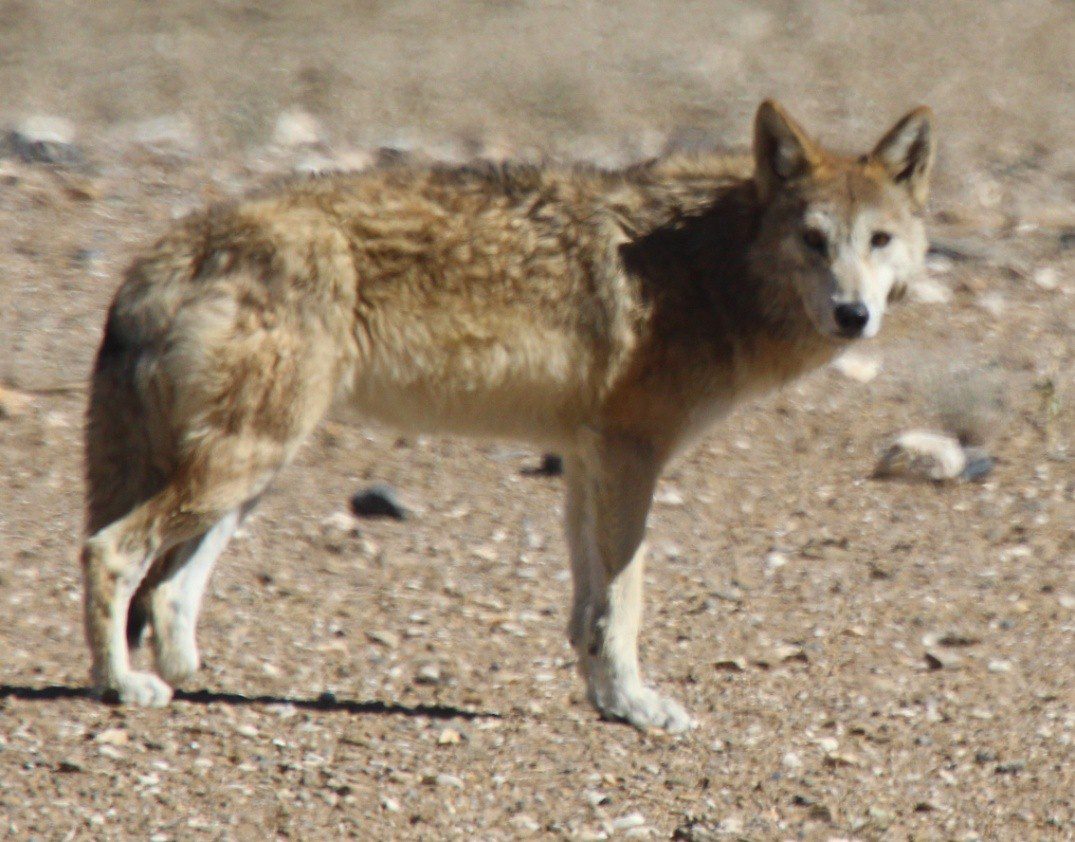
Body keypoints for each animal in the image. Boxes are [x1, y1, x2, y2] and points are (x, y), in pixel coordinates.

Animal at [81, 98, 933, 731]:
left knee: (167, 589)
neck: (708, 260)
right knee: (109, 552)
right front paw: (637, 707)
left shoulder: (588, 459)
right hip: (242, 462)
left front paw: (606, 702)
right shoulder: (631, 455)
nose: (853, 315)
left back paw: (181, 676)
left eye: (878, 239)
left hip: (249, 473)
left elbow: (589, 609)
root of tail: (165, 250)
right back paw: (120, 686)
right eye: (813, 240)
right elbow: (625, 602)